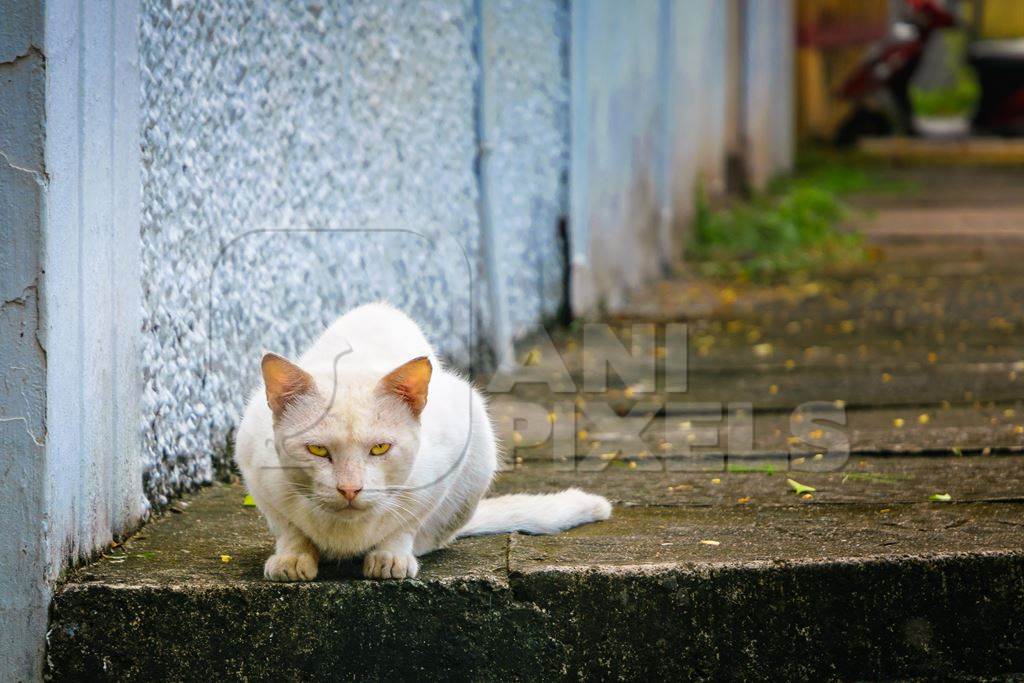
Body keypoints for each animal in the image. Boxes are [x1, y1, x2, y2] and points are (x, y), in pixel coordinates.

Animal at [235, 301, 610, 581]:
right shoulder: (254, 464)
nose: (350, 489)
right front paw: (293, 556)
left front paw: (390, 555)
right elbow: (288, 527)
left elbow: (406, 524)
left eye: (380, 448)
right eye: (317, 449)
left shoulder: (444, 463)